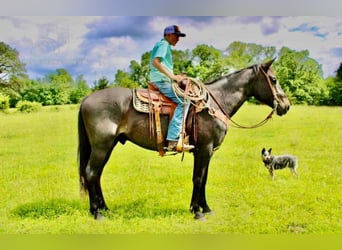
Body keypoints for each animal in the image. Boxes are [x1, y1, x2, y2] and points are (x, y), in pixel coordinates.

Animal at [78, 58, 292, 219]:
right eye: (273, 79)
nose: (286, 105)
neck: (214, 103)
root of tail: (86, 99)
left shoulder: (207, 151)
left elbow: (204, 178)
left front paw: (204, 208)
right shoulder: (204, 149)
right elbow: (198, 178)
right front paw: (197, 212)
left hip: (108, 146)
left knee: (97, 174)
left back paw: (104, 208)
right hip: (101, 146)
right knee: (91, 172)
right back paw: (97, 213)